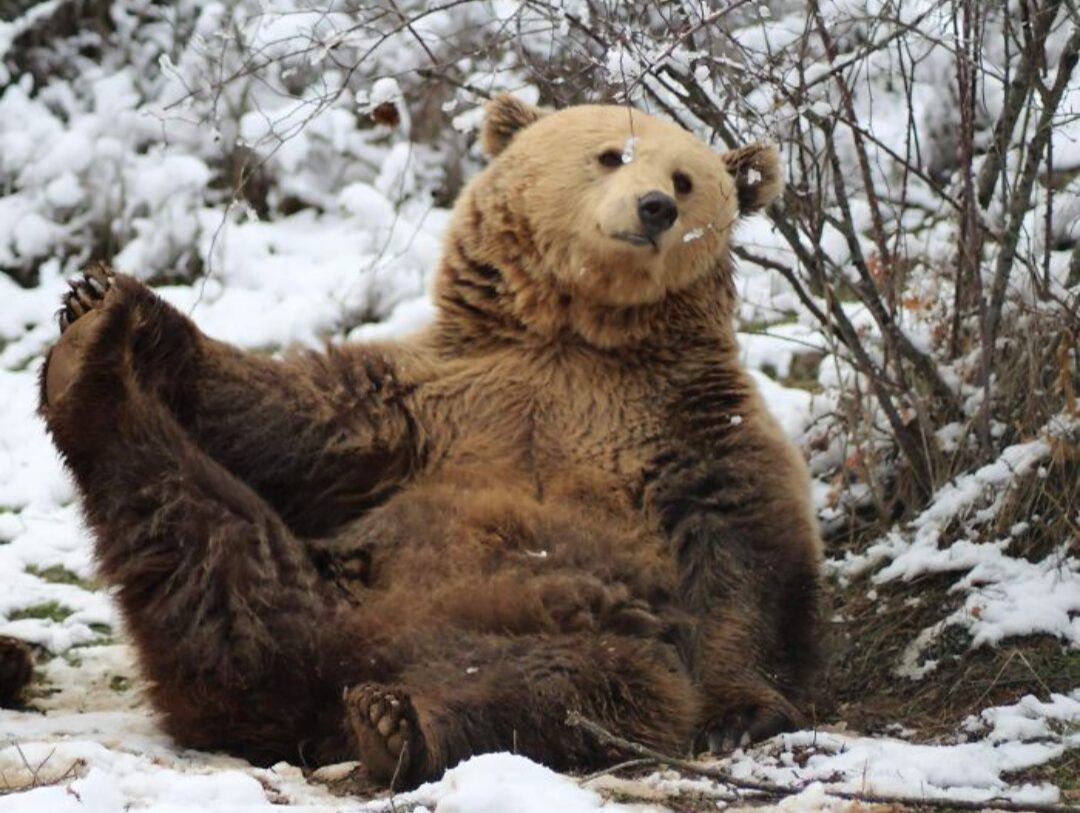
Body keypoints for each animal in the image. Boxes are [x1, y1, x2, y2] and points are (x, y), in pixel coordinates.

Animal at [37, 95, 822, 790]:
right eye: (611, 154)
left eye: (686, 178)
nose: (655, 207)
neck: (577, 339)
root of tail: (330, 669)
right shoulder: (427, 402)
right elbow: (280, 416)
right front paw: (109, 297)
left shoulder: (685, 423)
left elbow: (743, 550)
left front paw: (739, 712)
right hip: (323, 573)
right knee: (198, 534)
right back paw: (88, 358)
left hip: (572, 629)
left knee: (562, 689)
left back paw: (396, 723)